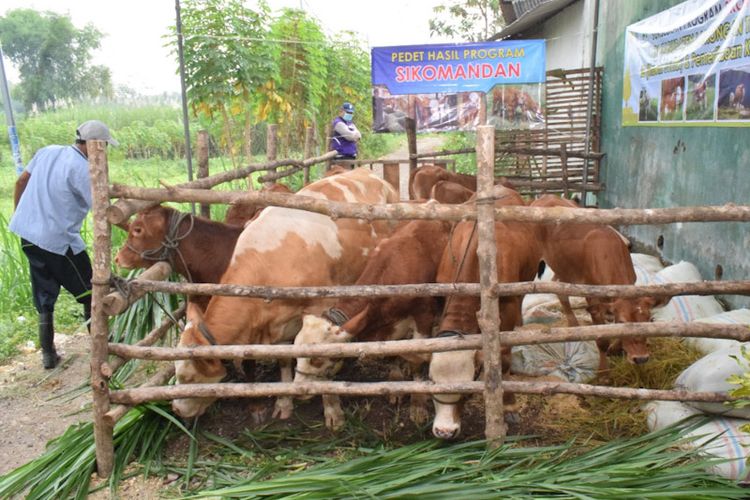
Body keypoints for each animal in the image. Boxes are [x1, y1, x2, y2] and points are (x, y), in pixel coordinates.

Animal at [173, 168, 402, 418]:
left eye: (188, 377)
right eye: (175, 372)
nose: (175, 409)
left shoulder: (322, 305)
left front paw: (332, 410)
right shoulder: (279, 323)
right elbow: (284, 359)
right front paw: (283, 403)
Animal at [294, 217, 452, 432]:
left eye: (316, 359)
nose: (297, 390)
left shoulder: (424, 317)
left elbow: (417, 359)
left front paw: (418, 405)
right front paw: (395, 384)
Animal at [428, 186, 540, 440]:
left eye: (468, 386)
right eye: (431, 381)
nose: (444, 431)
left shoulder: (506, 306)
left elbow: (504, 358)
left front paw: (509, 405)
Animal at [532, 195, 668, 376]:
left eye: (649, 320)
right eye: (623, 322)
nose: (641, 358)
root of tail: (545, 196)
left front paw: (615, 349)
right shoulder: (593, 300)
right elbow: (602, 339)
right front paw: (603, 371)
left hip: (563, 266)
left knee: (559, 288)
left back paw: (573, 324)